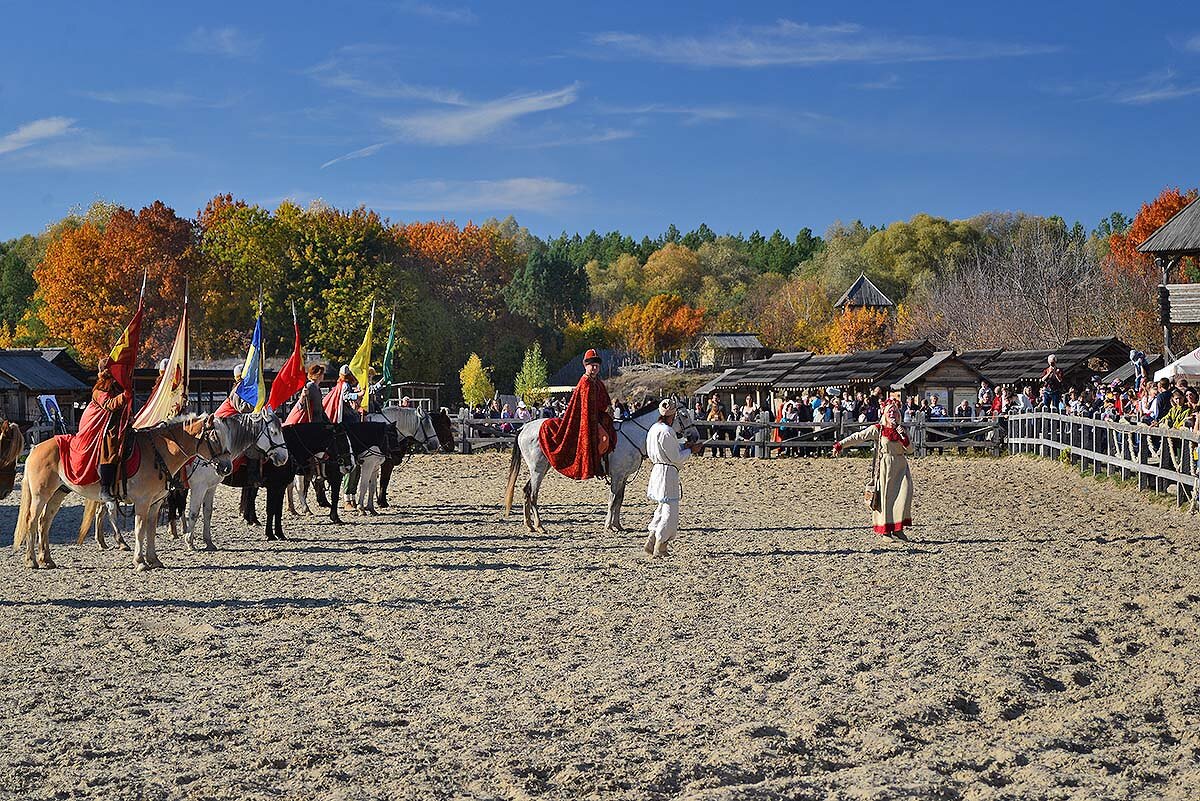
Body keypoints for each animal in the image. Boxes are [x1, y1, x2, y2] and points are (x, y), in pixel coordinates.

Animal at [15, 417, 229, 573]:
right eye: (215, 438)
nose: (226, 467)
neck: (160, 452)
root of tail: (36, 448)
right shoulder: (142, 503)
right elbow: (140, 530)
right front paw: (140, 562)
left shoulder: (155, 503)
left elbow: (150, 530)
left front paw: (153, 559)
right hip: (40, 495)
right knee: (32, 521)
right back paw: (31, 560)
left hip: (58, 493)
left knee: (44, 522)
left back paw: (46, 559)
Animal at [182, 412, 290, 551]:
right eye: (274, 432)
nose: (284, 457)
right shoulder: (198, 488)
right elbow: (194, 513)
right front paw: (190, 542)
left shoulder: (211, 487)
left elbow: (207, 512)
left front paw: (208, 541)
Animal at [501, 407, 700, 532]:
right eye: (684, 414)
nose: (695, 436)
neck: (633, 435)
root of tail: (525, 426)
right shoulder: (617, 476)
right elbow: (612, 500)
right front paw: (608, 526)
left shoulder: (623, 477)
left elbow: (619, 500)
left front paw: (618, 525)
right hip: (538, 470)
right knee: (533, 495)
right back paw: (540, 525)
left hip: (539, 469)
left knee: (526, 491)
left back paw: (529, 525)